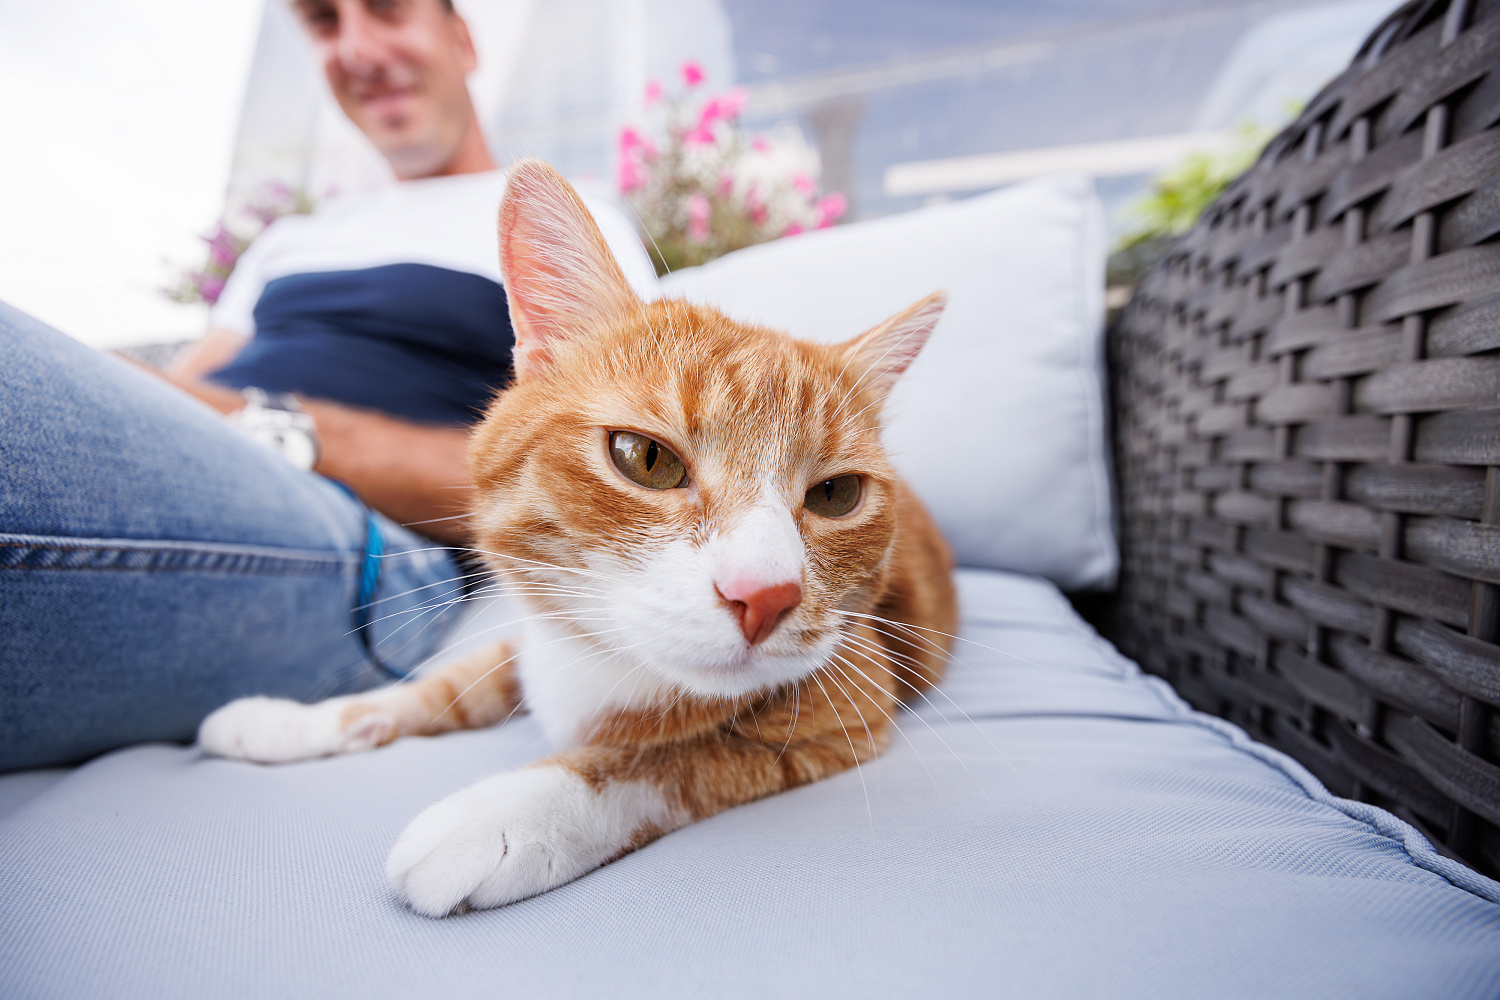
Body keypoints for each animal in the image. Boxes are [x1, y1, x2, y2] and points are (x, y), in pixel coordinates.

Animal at [199, 160, 954, 917]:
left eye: (835, 495)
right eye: (646, 459)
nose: (765, 595)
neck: (610, 669)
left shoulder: (849, 708)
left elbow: (672, 760)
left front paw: (507, 813)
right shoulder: (531, 635)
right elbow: (441, 686)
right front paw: (294, 722)